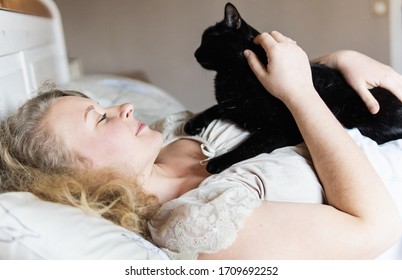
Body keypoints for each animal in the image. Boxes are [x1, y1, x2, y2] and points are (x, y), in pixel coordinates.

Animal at [185, 2, 402, 174]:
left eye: (208, 39)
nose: (194, 53)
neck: (231, 75)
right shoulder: (233, 106)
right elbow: (215, 107)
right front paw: (193, 123)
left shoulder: (281, 131)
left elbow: (248, 146)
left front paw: (217, 162)